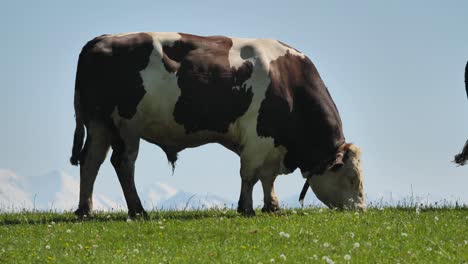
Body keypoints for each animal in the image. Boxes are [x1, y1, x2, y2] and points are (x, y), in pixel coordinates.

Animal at [69, 32, 366, 217]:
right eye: (352, 178)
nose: (361, 210)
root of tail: (101, 39)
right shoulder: (257, 138)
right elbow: (250, 175)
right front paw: (246, 208)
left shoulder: (272, 145)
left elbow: (268, 178)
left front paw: (272, 206)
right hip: (126, 126)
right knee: (122, 163)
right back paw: (138, 210)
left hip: (99, 124)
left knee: (91, 161)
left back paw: (85, 210)